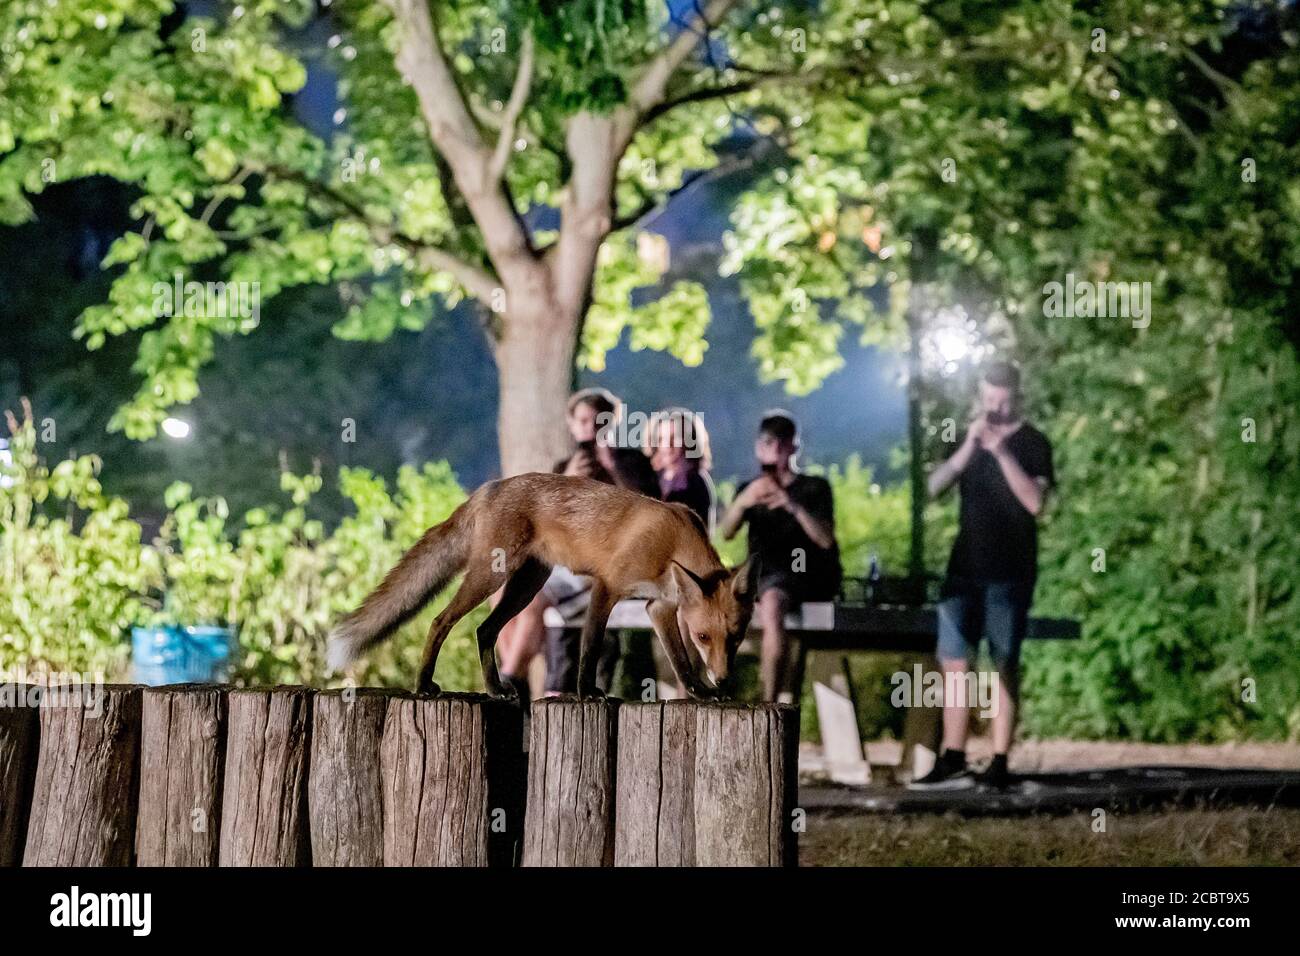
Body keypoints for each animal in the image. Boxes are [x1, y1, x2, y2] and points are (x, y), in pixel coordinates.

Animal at [325, 476, 759, 697]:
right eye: (703, 636)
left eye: (735, 638)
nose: (724, 680)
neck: (672, 543)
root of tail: (487, 488)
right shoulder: (607, 587)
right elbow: (590, 647)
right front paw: (586, 693)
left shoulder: (660, 607)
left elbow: (680, 662)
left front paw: (700, 692)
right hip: (490, 578)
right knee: (440, 621)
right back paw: (422, 684)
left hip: (526, 587)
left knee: (484, 630)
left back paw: (495, 689)